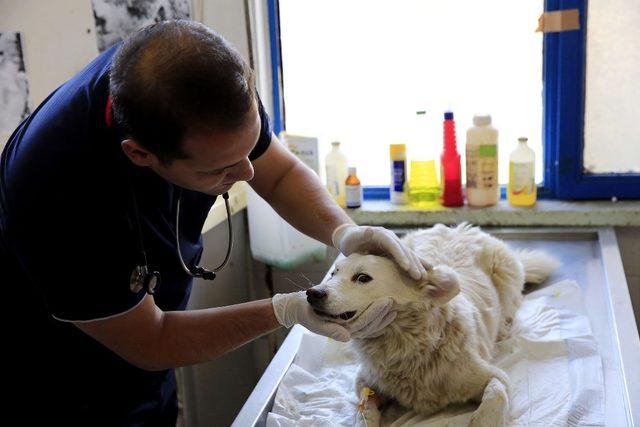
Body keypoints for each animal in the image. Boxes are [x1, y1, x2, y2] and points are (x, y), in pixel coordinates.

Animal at [308, 226, 556, 426]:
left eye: (362, 278)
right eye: (333, 274)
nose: (312, 293)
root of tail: (460, 228)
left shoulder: (491, 375)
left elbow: (496, 393)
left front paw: (484, 421)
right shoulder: (366, 381)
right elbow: (364, 410)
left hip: (507, 277)